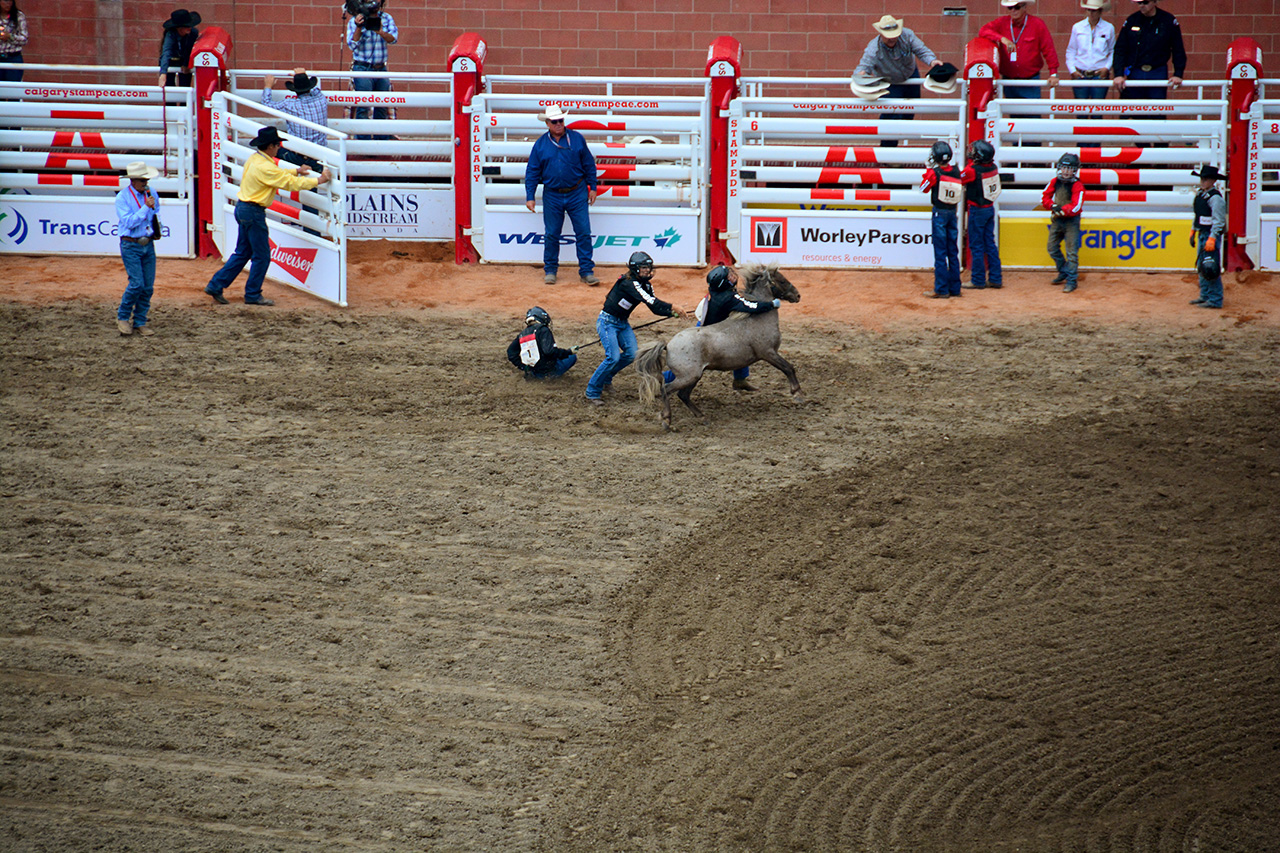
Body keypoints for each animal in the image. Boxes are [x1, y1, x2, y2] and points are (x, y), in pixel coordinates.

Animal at [637, 262, 803, 427]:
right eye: (782, 281)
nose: (798, 295)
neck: (757, 319)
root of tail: (668, 345)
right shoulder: (768, 353)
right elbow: (788, 368)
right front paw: (797, 393)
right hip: (689, 376)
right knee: (666, 389)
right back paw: (667, 418)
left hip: (694, 376)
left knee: (682, 394)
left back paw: (701, 416)